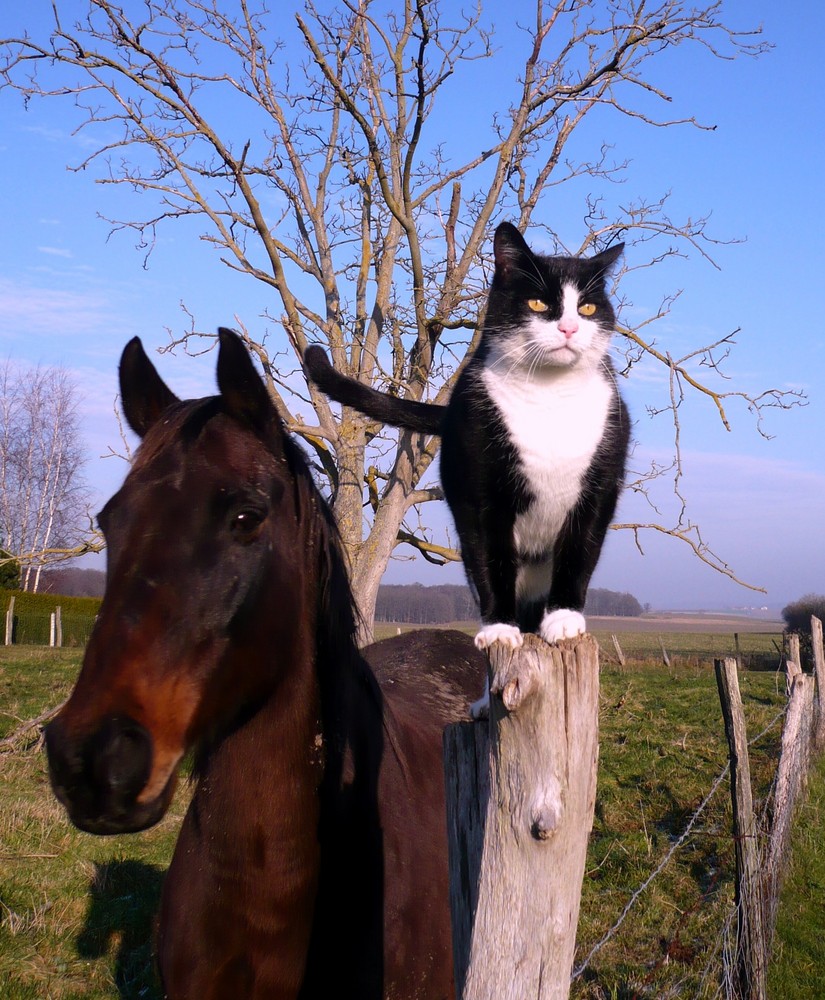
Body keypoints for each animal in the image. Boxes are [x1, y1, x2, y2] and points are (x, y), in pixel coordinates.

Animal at [306, 220, 628, 656]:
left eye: (588, 309)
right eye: (538, 304)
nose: (569, 327)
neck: (550, 394)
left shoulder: (599, 487)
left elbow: (579, 553)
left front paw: (564, 620)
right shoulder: (477, 492)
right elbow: (489, 558)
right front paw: (499, 629)